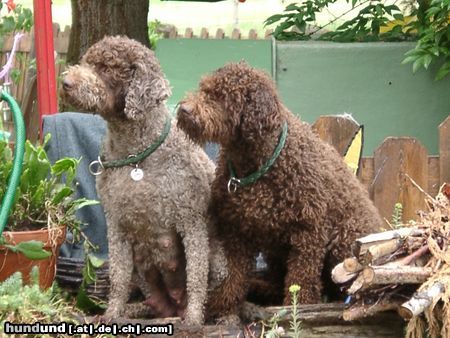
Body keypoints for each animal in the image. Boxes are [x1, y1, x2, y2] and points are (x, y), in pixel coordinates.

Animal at [60, 36, 229, 324]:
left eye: (106, 68)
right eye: (86, 62)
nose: (66, 82)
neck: (136, 156)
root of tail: (174, 305)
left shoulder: (191, 223)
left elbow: (196, 276)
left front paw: (194, 319)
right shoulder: (116, 227)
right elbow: (118, 280)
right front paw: (111, 315)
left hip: (218, 263)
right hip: (139, 268)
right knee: (149, 300)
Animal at [176, 62, 384, 318]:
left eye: (220, 97)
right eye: (203, 88)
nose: (184, 109)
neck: (256, 166)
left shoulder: (308, 232)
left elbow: (302, 279)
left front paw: (300, 308)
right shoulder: (237, 231)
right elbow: (233, 274)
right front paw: (223, 305)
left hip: (344, 240)